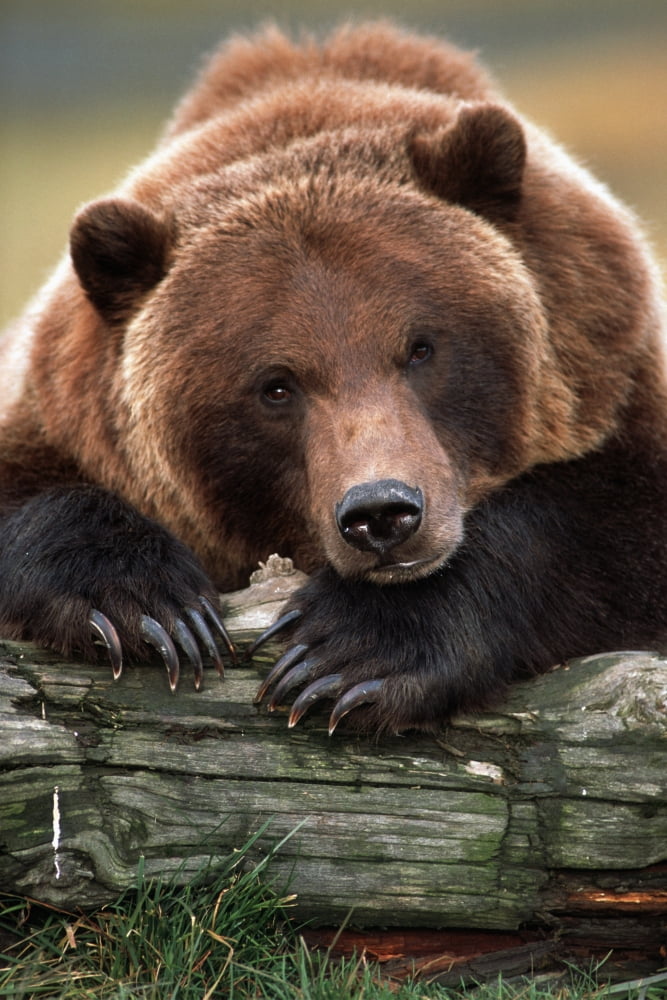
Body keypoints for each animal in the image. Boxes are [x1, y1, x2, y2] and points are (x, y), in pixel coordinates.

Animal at [0, 21, 666, 734]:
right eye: (276, 384)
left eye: (421, 347)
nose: (382, 513)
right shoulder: (59, 411)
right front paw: (150, 607)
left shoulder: (618, 379)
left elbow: (606, 532)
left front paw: (348, 652)